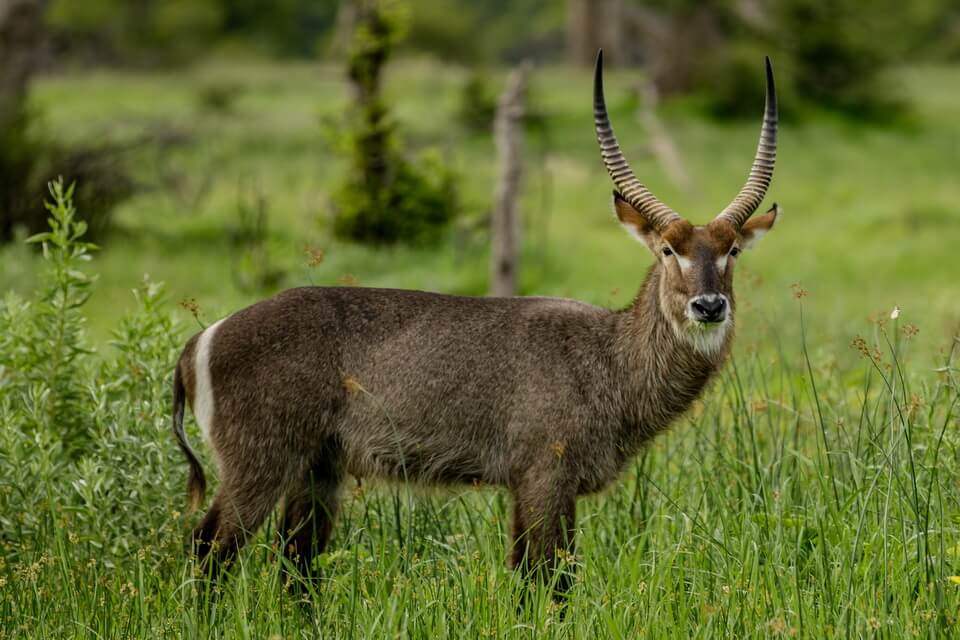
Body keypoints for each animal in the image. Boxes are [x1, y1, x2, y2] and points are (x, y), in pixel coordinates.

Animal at [172, 51, 780, 596]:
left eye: (731, 251)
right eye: (667, 250)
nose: (708, 306)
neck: (608, 357)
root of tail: (201, 338)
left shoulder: (530, 486)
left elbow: (530, 575)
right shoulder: (544, 477)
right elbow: (550, 580)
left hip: (317, 468)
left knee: (295, 564)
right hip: (259, 460)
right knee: (210, 547)